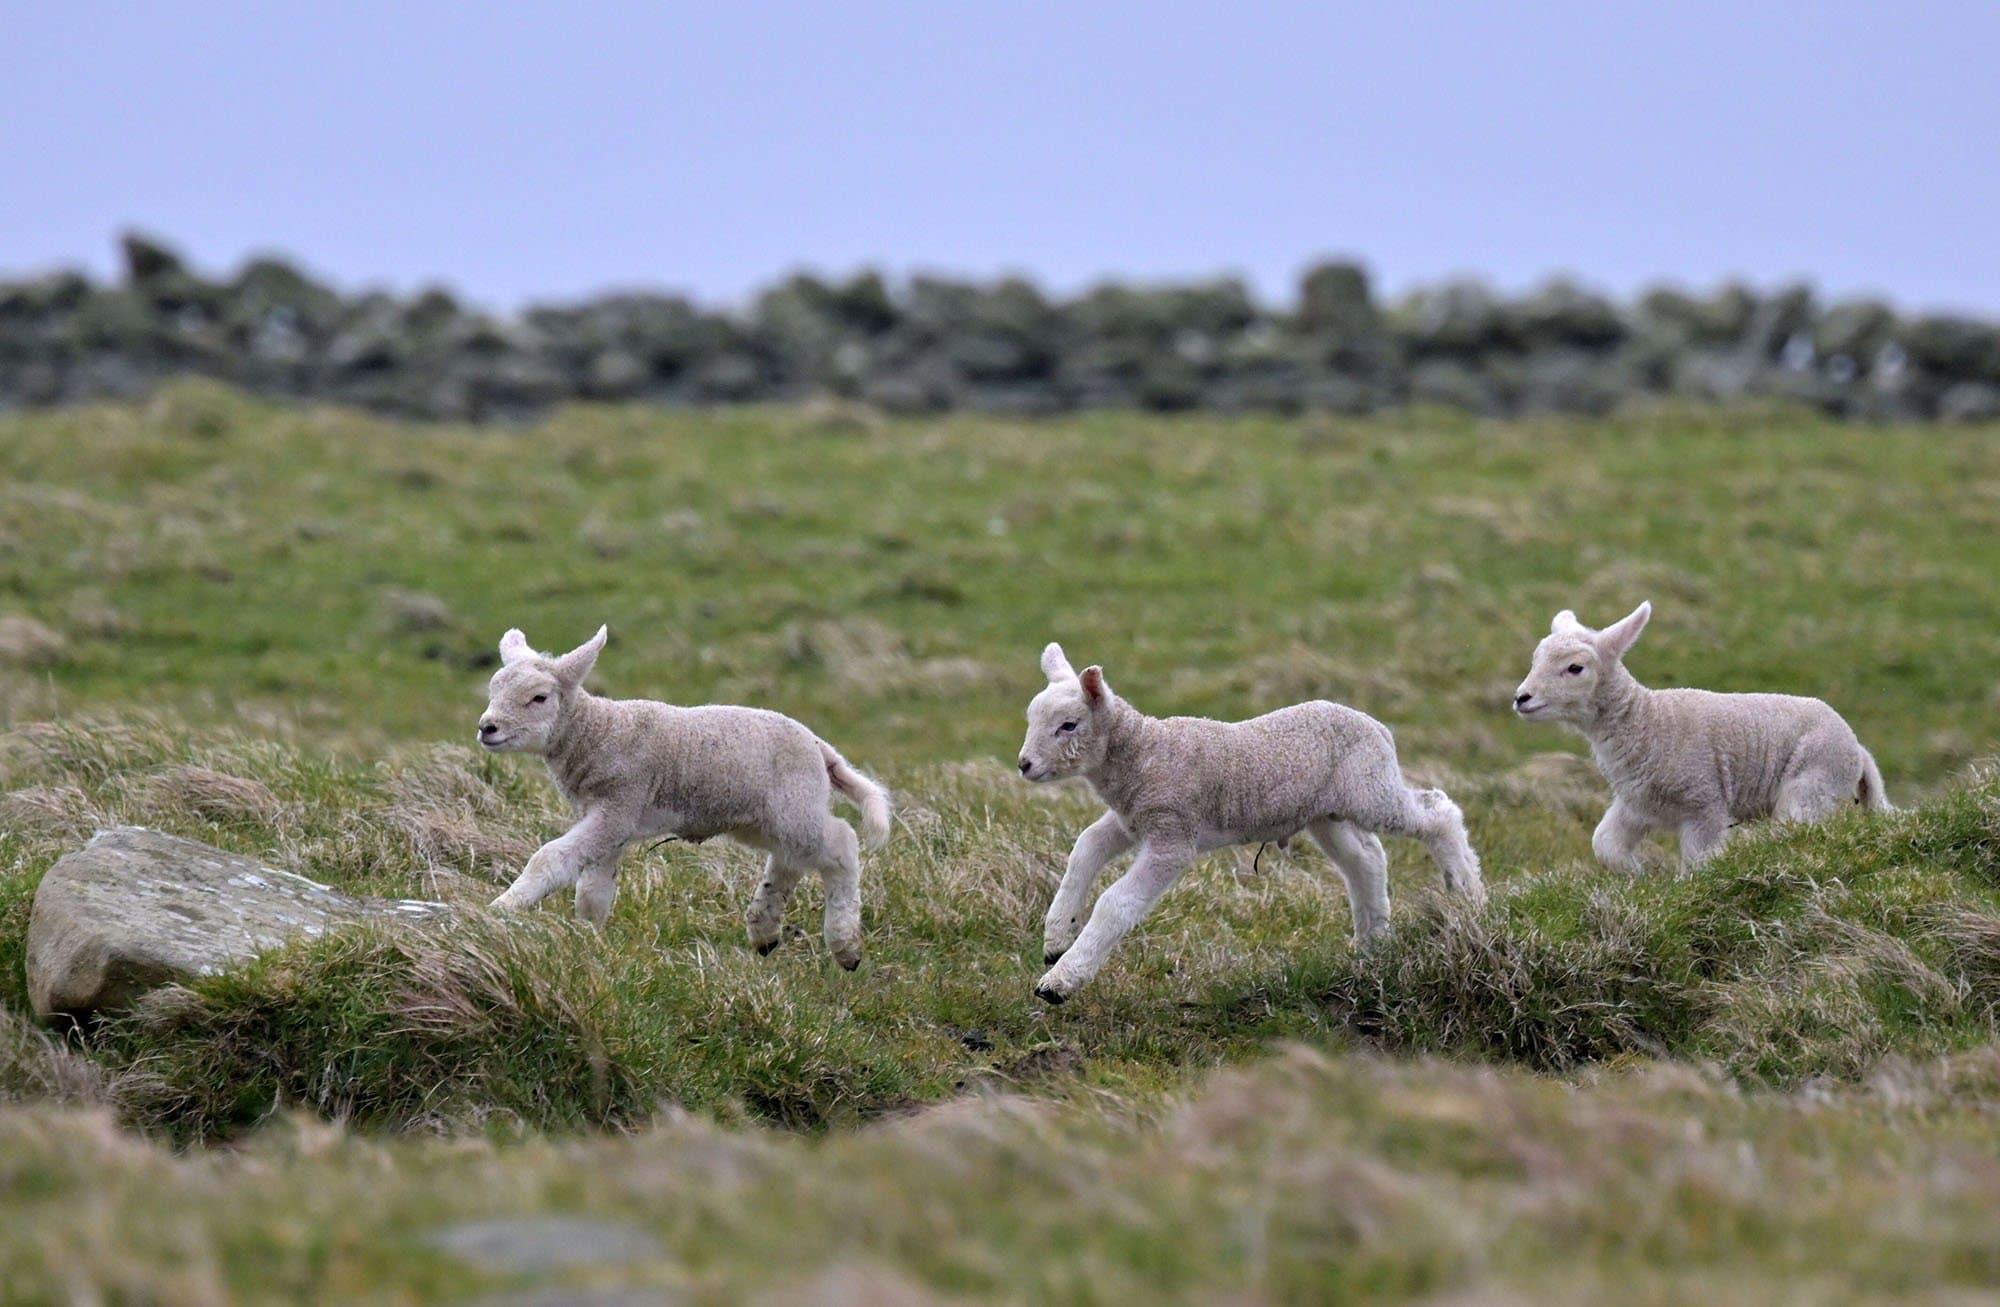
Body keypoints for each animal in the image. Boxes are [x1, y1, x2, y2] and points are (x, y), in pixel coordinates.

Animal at [476, 625, 891, 967]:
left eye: (539, 698)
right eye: (493, 691)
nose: (487, 727)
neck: (598, 733)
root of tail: (821, 748)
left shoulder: (618, 805)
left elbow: (548, 859)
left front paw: (502, 909)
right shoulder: (611, 821)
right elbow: (593, 890)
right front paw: (588, 937)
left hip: (794, 806)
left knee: (841, 844)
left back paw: (845, 945)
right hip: (766, 818)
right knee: (789, 861)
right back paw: (765, 932)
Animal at [1017, 643, 1485, 1003]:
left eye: (1068, 725)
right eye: (1031, 720)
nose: (1024, 764)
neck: (1144, 755)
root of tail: (1375, 726)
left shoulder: (1172, 836)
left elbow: (1115, 902)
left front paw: (1060, 981)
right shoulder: (1132, 820)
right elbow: (1085, 847)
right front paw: (1056, 937)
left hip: (1372, 791)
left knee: (1439, 814)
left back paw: (1468, 893)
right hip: (1323, 813)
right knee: (1366, 859)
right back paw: (1374, 947)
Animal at [1511, 601, 1891, 872]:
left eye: (1575, 668)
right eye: (1534, 660)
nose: (1521, 698)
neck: (1646, 722)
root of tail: (1858, 748)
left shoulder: (1703, 805)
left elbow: (1697, 864)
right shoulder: (1636, 803)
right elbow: (1604, 844)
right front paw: (1640, 874)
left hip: (1814, 782)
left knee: (1796, 830)